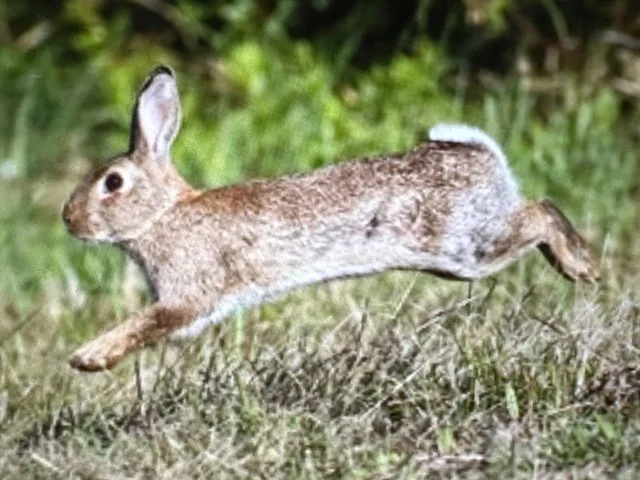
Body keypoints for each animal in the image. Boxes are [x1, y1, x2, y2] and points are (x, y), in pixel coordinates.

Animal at [62, 65, 601, 372]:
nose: (69, 220)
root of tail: (484, 157)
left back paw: (582, 267)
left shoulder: (187, 295)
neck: (162, 214)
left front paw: (88, 358)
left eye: (113, 183)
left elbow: (145, 323)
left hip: (465, 246)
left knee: (540, 213)